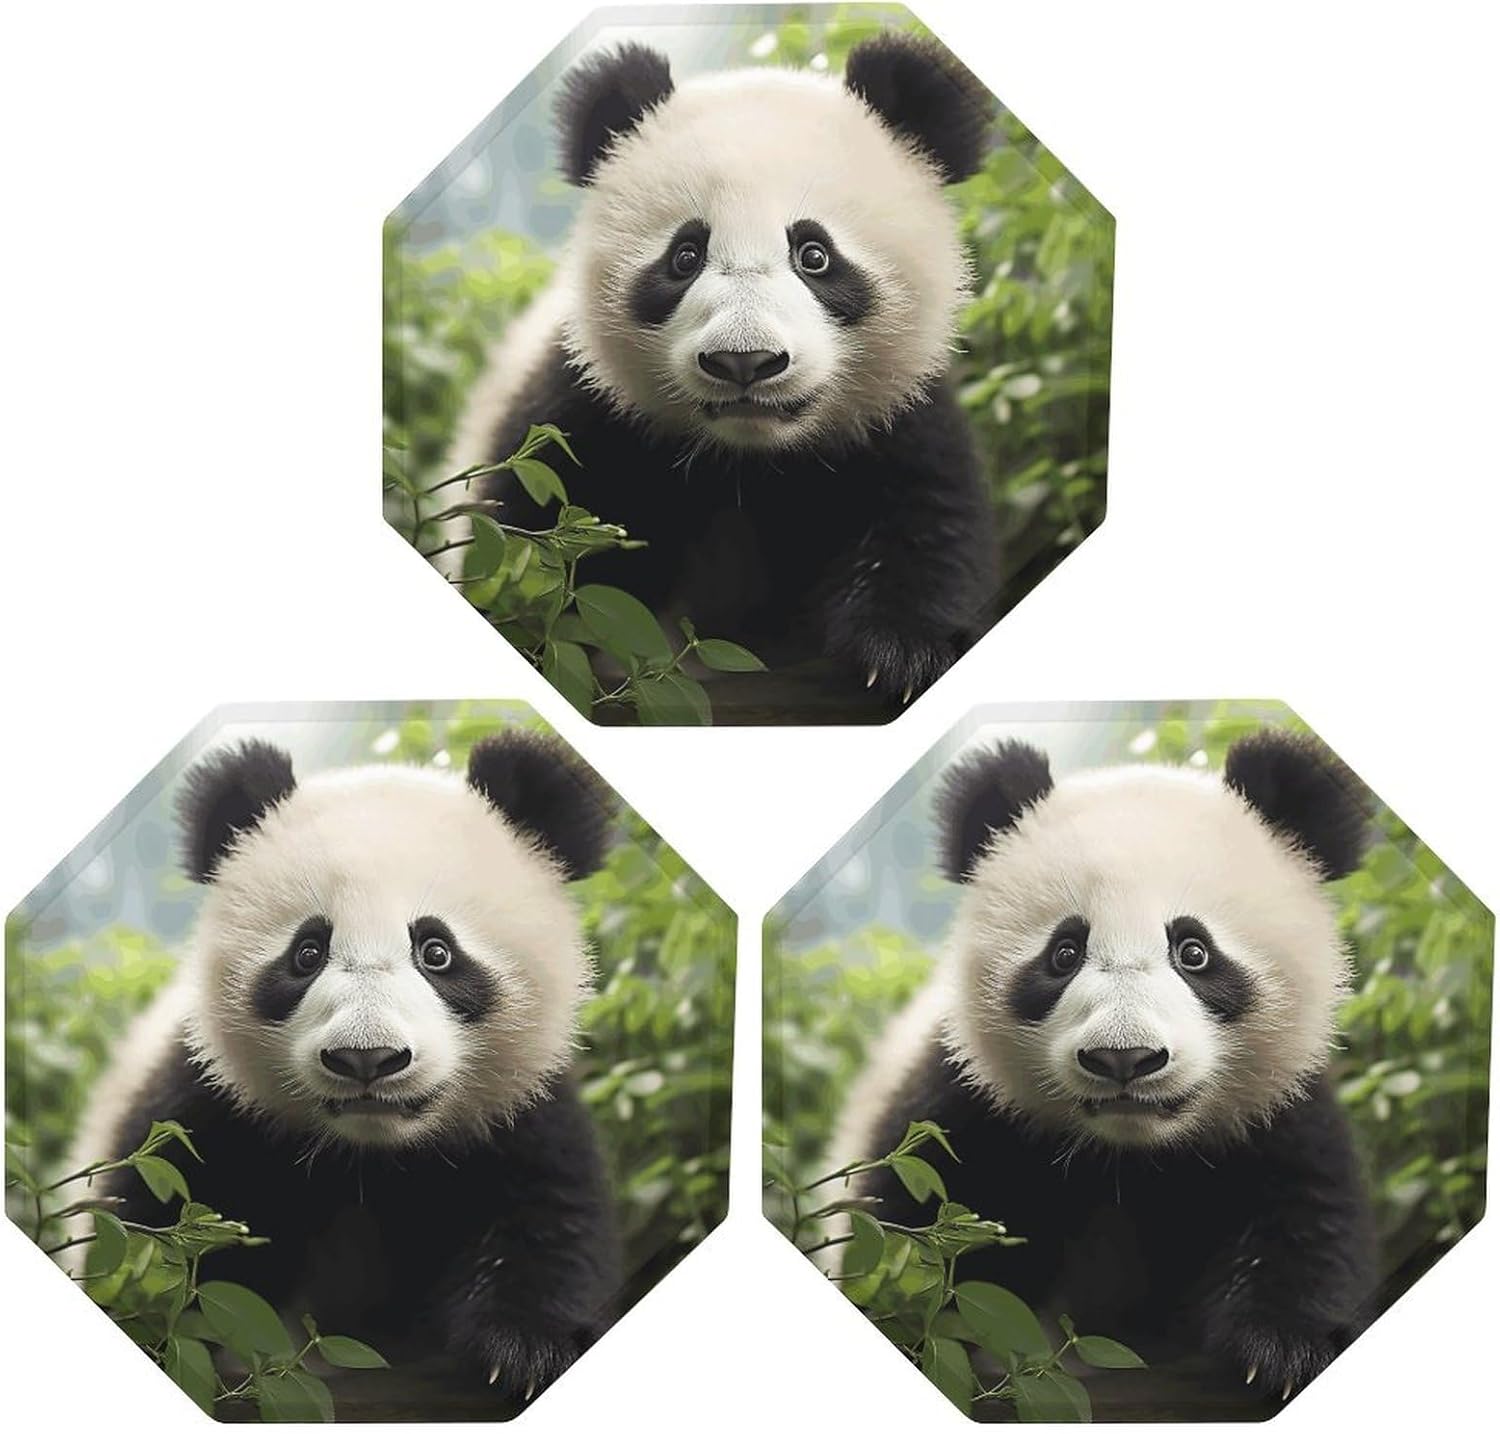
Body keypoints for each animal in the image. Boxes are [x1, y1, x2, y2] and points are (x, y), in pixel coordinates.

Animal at [68, 730, 621, 1403]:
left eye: (436, 951)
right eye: (308, 952)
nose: (367, 1057)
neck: (367, 1157)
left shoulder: (520, 1115)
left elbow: (549, 1219)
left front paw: (528, 1349)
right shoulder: (210, 1106)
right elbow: (150, 1226)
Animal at [446, 32, 1001, 705]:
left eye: (814, 254)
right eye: (685, 255)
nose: (745, 361)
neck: (745, 460)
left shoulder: (897, 418)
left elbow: (929, 520)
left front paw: (903, 654)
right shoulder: (587, 410)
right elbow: (527, 533)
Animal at [831, 728, 1379, 1406]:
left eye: (1193, 951)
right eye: (1064, 952)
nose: (1125, 1058)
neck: (1125, 1158)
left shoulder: (1277, 1114)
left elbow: (1309, 1217)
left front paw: (1285, 1350)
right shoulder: (970, 1107)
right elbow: (907, 1223)